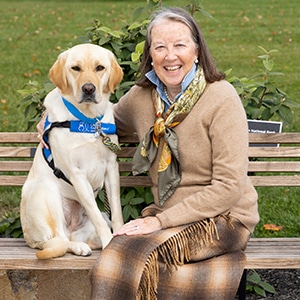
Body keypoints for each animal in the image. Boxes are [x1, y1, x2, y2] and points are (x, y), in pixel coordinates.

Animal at [19, 43, 123, 258]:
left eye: (100, 68)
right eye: (76, 68)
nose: (88, 88)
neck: (89, 121)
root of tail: (31, 240)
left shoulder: (111, 167)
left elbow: (116, 210)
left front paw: (120, 237)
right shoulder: (77, 174)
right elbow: (95, 215)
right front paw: (110, 243)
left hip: (94, 217)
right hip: (46, 190)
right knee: (60, 239)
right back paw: (79, 247)